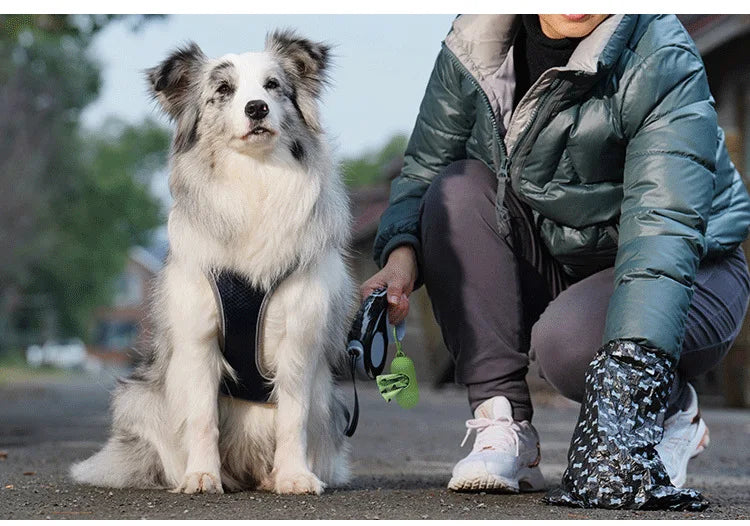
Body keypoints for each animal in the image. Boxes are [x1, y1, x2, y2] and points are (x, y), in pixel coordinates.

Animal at [72, 31, 358, 498]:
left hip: (328, 404)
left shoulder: (300, 338)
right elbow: (202, 417)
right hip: (138, 397)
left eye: (273, 86)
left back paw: (272, 475)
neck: (255, 177)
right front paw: (202, 476)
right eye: (223, 90)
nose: (256, 108)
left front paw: (295, 476)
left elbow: (292, 416)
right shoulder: (198, 337)